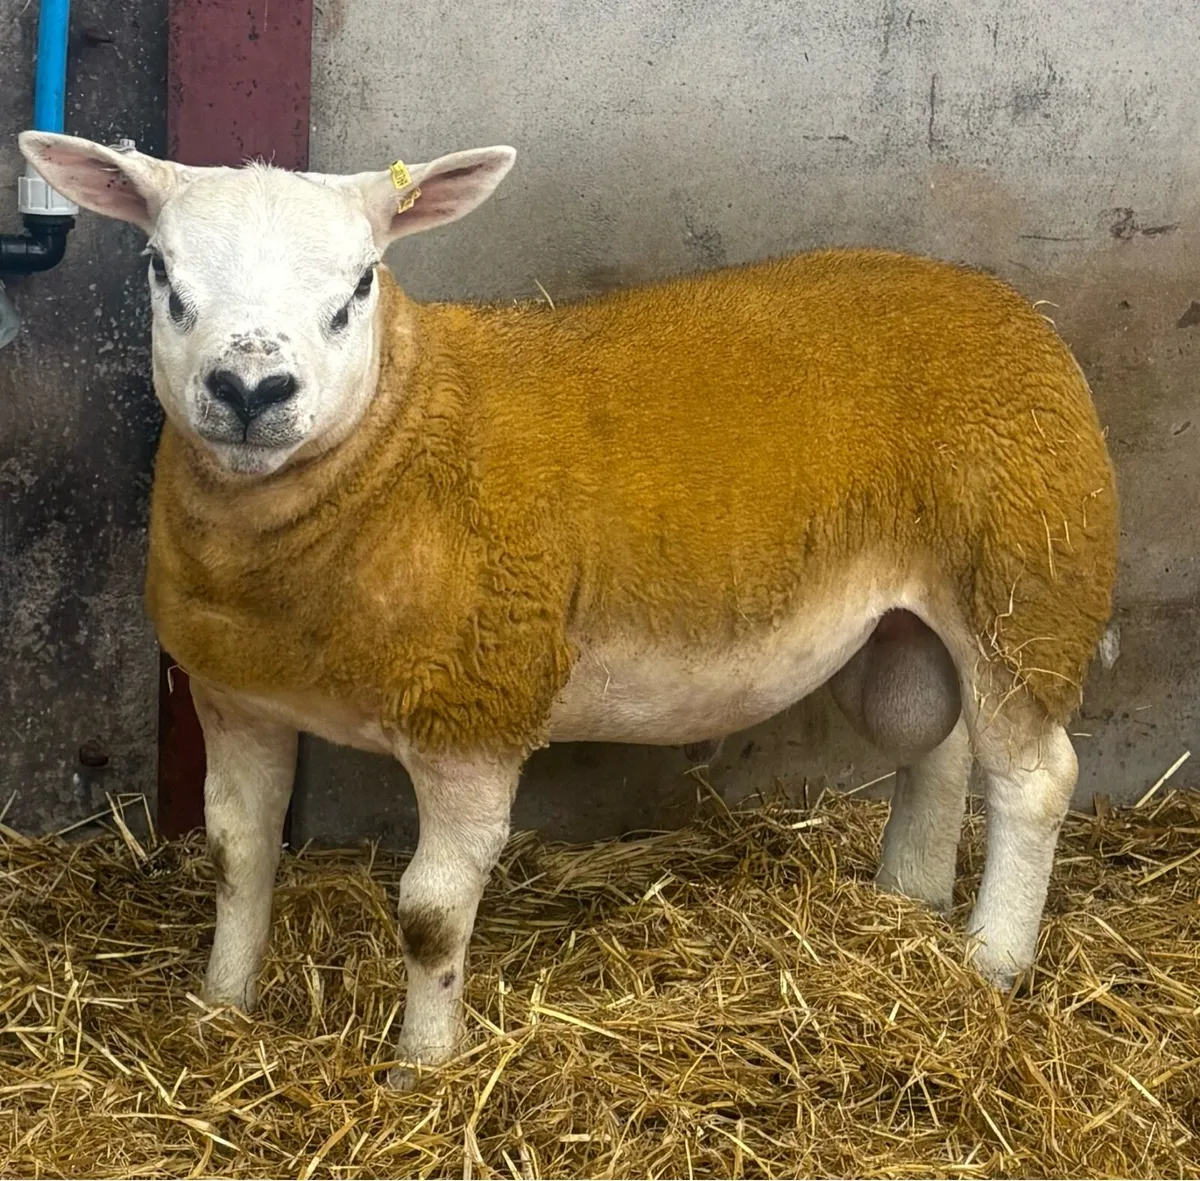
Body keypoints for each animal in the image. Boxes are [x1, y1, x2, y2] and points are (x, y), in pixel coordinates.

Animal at [20, 131, 1119, 1088]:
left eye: (360, 285)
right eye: (160, 270)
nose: (251, 387)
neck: (395, 436)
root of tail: (1003, 300)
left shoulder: (475, 711)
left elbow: (429, 914)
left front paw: (423, 1068)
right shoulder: (236, 696)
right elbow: (236, 857)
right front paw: (221, 1007)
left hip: (1029, 581)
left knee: (1035, 778)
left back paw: (990, 960)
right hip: (914, 620)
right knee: (935, 745)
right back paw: (908, 902)